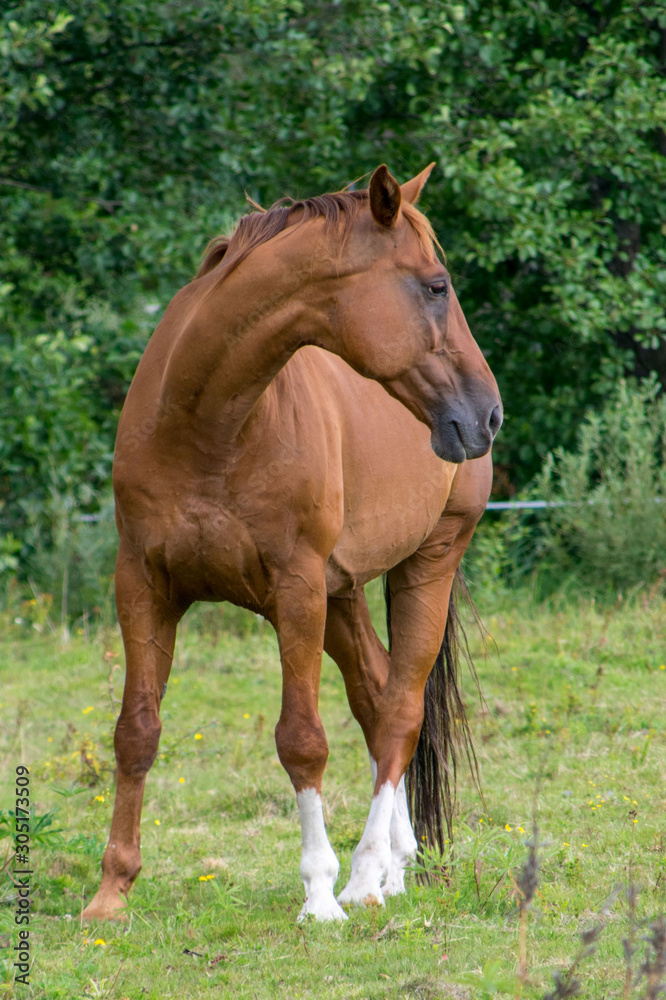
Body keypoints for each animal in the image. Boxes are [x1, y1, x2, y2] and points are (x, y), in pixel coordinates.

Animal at [83, 162, 498, 920]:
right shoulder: (142, 584)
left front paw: (320, 894)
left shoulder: (295, 589)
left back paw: (363, 878)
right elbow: (136, 730)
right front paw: (111, 891)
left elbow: (301, 740)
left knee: (401, 712)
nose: (487, 412)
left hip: (425, 565)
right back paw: (393, 869)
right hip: (343, 595)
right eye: (435, 286)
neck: (207, 422)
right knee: (375, 698)